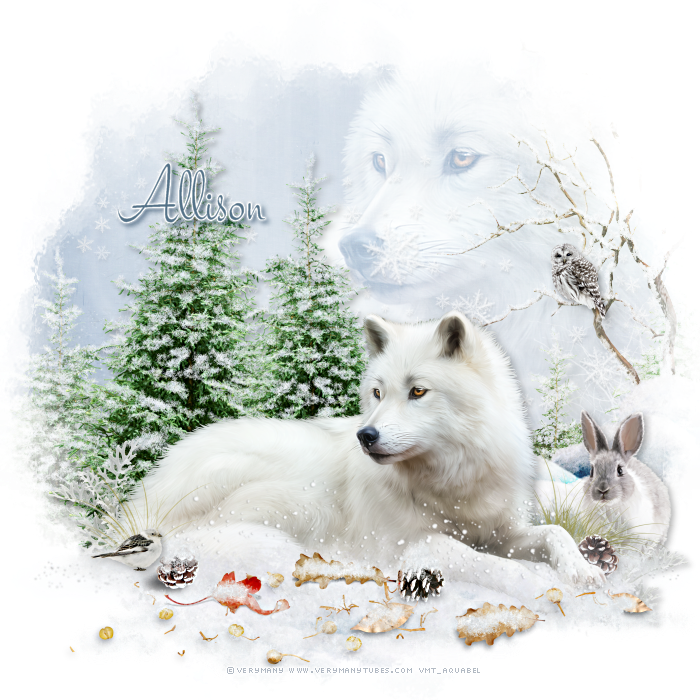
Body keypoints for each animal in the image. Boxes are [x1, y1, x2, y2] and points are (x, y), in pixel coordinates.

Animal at [125, 310, 607, 599]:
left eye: (417, 391)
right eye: (377, 392)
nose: (365, 435)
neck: (451, 480)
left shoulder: (501, 533)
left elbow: (554, 533)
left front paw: (583, 571)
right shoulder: (413, 544)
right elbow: (496, 567)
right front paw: (542, 586)